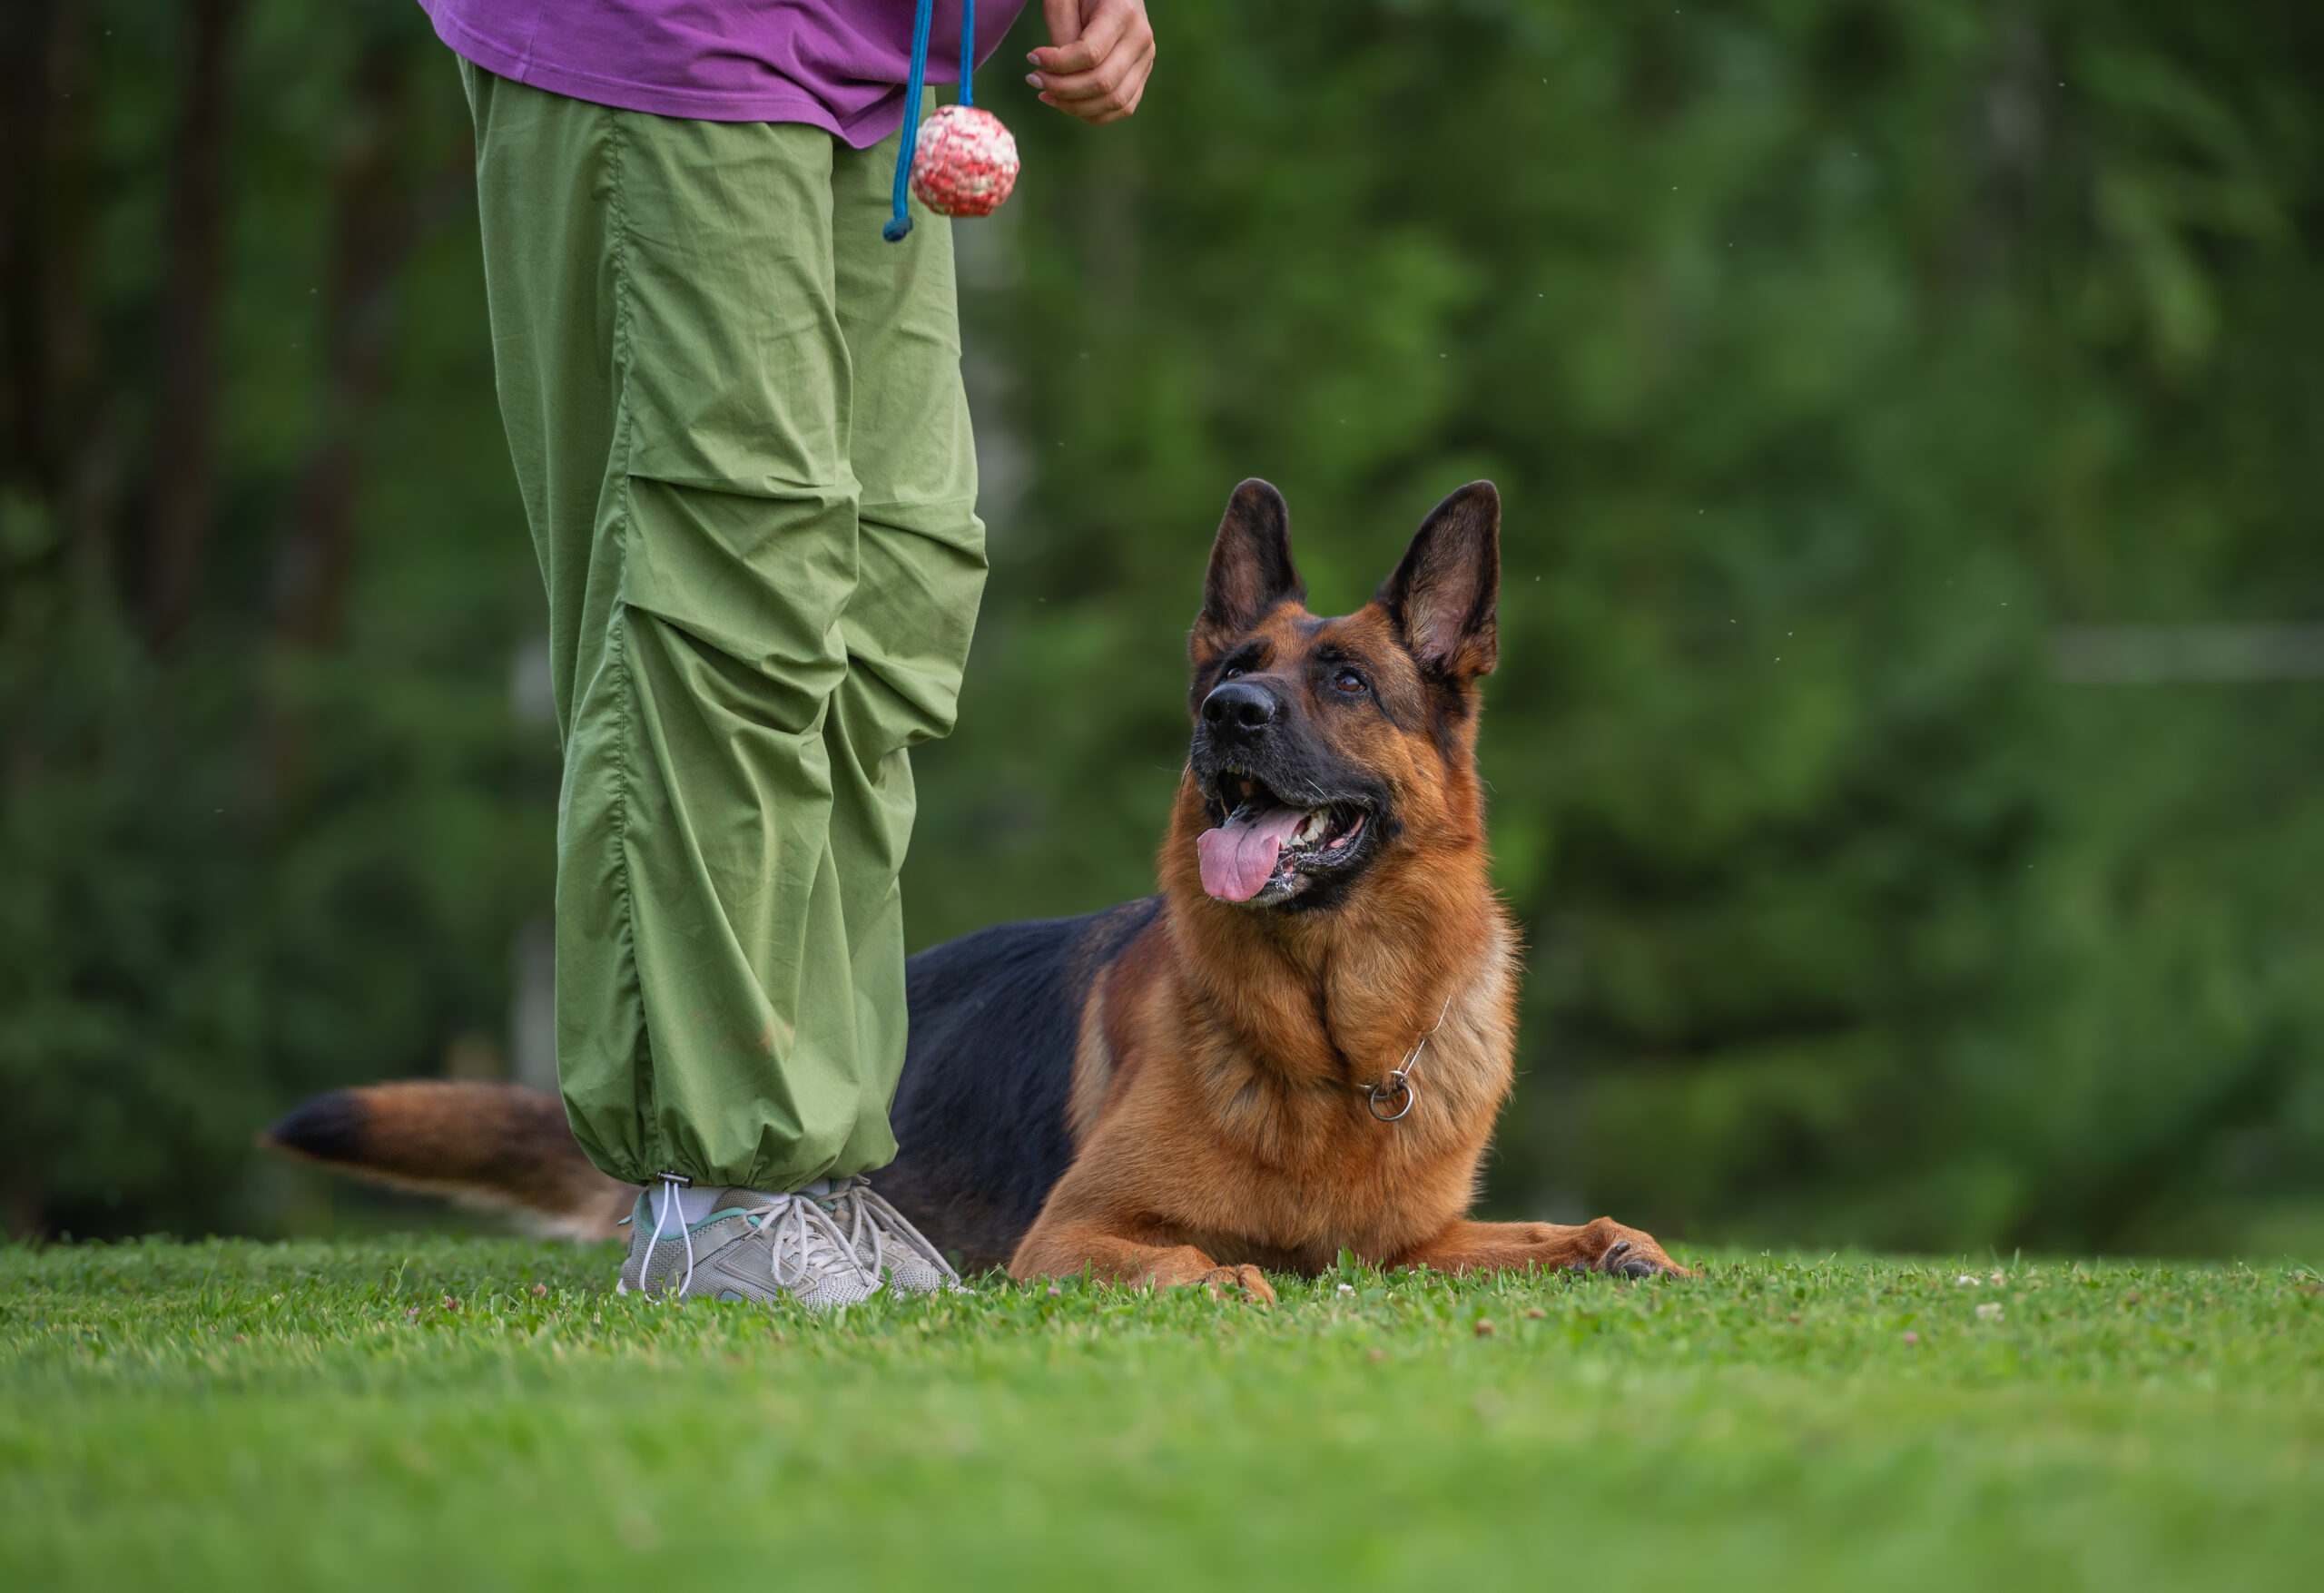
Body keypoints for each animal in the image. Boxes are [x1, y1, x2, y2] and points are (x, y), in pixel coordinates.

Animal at [266, 480, 1685, 1300]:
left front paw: (1615, 1245)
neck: (1334, 1044)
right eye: (1235, 665)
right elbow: (1194, 1260)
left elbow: (1552, 1231)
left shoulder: (1409, 1250)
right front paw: (1226, 1283)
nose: (1225, 715)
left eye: (1343, 680)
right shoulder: (1073, 1238)